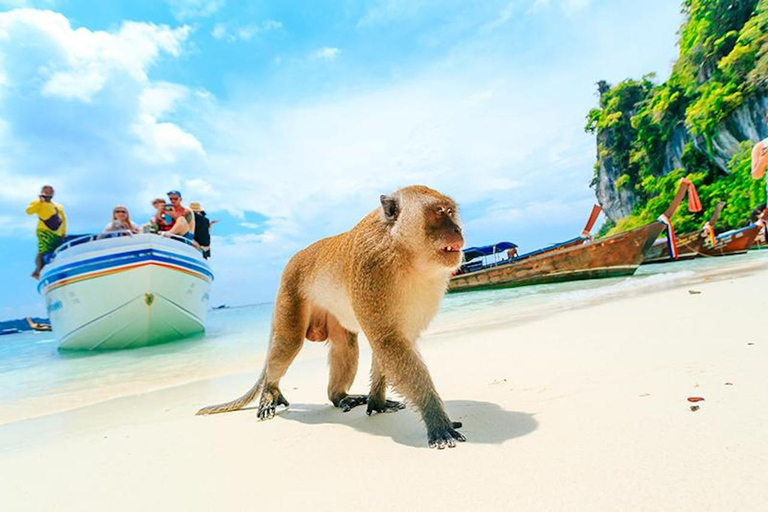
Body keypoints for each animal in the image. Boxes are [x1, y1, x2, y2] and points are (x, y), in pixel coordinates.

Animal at [195, 185, 464, 448]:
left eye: (451, 212)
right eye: (440, 212)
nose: (458, 229)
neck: (403, 251)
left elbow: (390, 343)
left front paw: (377, 402)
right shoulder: (372, 268)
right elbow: (388, 341)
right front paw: (436, 419)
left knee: (345, 345)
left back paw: (340, 396)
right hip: (290, 293)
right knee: (289, 342)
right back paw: (270, 392)